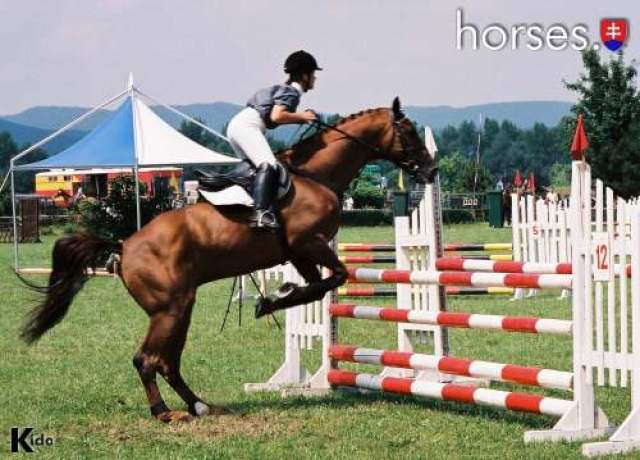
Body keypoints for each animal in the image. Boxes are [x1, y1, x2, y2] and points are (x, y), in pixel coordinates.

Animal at [19, 98, 437, 423]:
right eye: (408, 131)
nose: (431, 170)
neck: (315, 174)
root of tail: (124, 245)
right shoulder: (309, 242)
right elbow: (334, 278)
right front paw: (271, 300)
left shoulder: (299, 251)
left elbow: (317, 287)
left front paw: (276, 297)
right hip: (170, 309)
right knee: (147, 359)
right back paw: (164, 412)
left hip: (181, 307)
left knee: (167, 362)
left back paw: (201, 406)